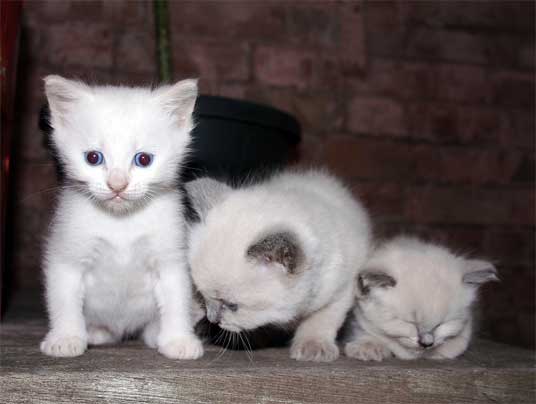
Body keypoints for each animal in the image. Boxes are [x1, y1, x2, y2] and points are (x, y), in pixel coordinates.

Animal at [39, 76, 203, 360]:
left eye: (143, 159)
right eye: (93, 157)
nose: (118, 185)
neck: (121, 222)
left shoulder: (170, 258)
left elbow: (176, 299)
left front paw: (178, 340)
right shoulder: (67, 253)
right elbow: (64, 297)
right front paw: (66, 337)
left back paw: (154, 333)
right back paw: (96, 332)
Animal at [186, 169, 370, 362]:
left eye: (232, 306)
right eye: (201, 295)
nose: (212, 319)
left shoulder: (342, 288)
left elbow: (321, 319)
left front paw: (313, 346)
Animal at [346, 235, 500, 362]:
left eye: (441, 324)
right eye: (410, 322)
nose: (426, 343)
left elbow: (459, 343)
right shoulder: (359, 318)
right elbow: (367, 331)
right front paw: (368, 347)